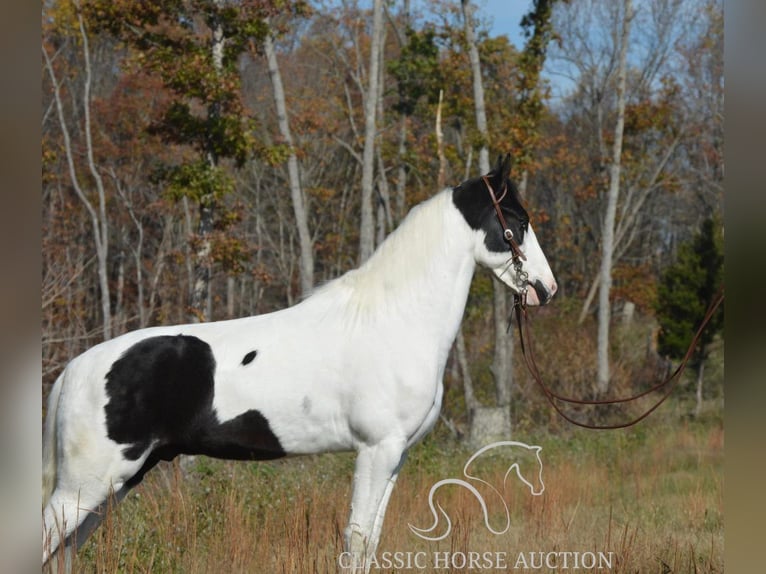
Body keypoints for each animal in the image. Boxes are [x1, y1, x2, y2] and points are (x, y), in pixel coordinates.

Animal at [42, 153, 560, 572]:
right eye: (518, 219)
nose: (547, 289)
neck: (396, 318)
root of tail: (73, 370)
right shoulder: (376, 450)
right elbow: (356, 540)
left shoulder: (396, 455)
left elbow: (372, 540)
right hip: (87, 484)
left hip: (116, 483)